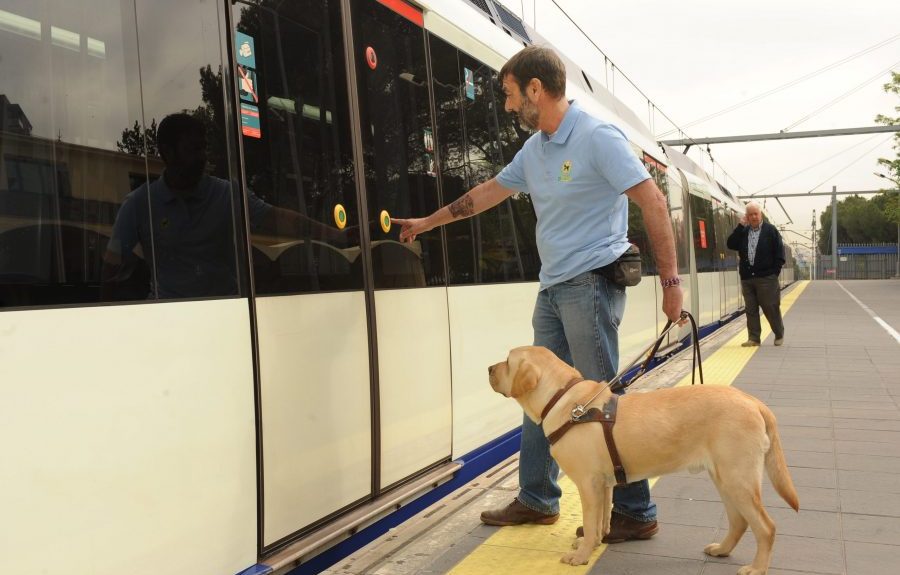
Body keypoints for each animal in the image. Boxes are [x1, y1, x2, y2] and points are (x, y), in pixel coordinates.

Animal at [488, 346, 800, 575]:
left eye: (507, 361)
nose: (489, 368)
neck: (568, 404)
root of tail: (753, 402)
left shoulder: (588, 484)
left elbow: (590, 521)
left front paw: (581, 555)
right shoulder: (603, 485)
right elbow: (600, 522)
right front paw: (593, 543)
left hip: (738, 478)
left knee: (766, 527)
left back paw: (757, 568)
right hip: (725, 479)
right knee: (739, 522)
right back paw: (721, 549)